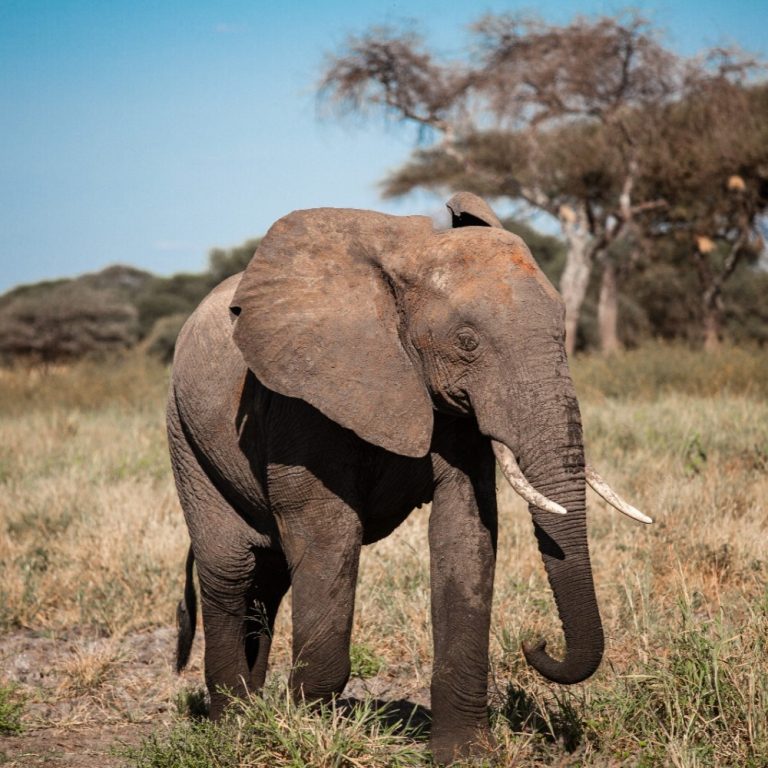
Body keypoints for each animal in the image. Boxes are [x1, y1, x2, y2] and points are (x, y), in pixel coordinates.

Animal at [168, 192, 650, 763]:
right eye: (467, 342)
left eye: (562, 333)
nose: (536, 643)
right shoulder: (301, 400)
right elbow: (328, 535)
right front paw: (305, 730)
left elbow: (465, 534)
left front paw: (465, 756)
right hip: (184, 433)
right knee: (231, 568)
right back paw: (235, 725)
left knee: (268, 578)